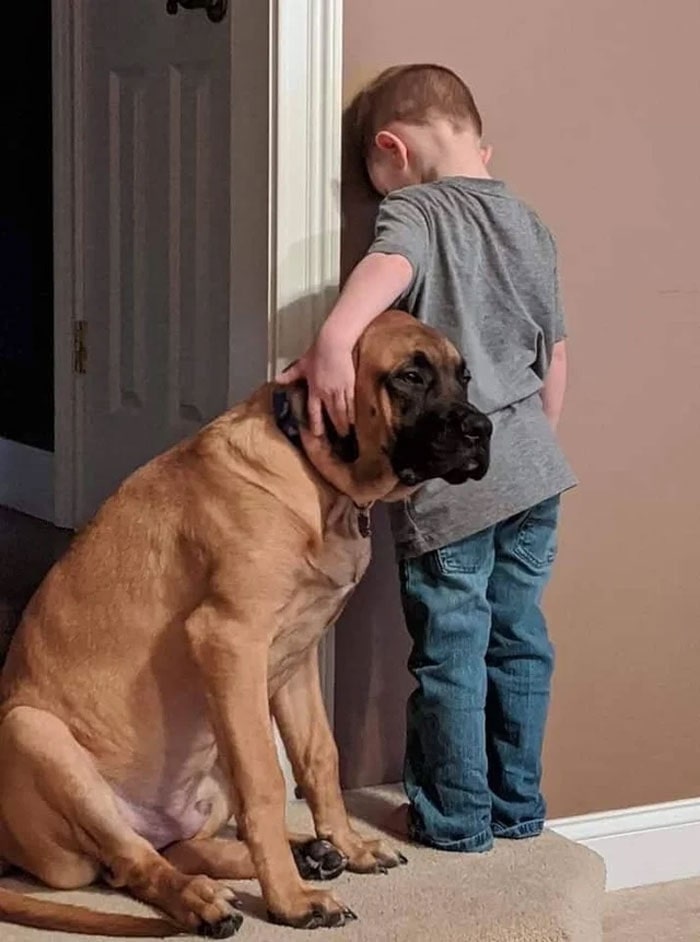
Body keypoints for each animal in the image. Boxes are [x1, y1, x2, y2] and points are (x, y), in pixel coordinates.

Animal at [0, 310, 492, 936]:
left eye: (464, 377)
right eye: (409, 376)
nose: (483, 430)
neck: (315, 482)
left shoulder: (298, 655)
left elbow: (319, 756)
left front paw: (350, 846)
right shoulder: (230, 640)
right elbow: (265, 781)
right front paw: (290, 901)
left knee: (174, 847)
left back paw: (312, 853)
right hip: (32, 734)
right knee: (133, 864)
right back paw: (206, 900)